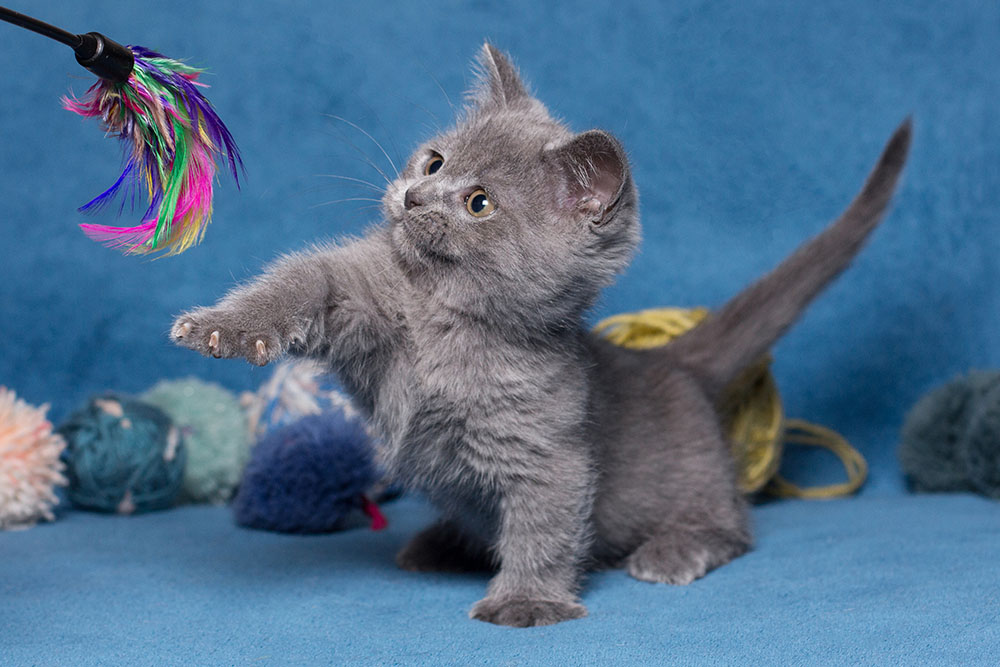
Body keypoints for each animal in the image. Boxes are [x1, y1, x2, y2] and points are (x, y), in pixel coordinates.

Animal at [174, 45, 916, 628]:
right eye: (434, 161)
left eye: (479, 203)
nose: (413, 196)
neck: (443, 321)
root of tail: (668, 361)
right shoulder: (357, 295)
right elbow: (303, 283)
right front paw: (224, 326)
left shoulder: (548, 446)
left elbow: (545, 522)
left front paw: (526, 600)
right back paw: (443, 541)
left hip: (694, 479)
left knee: (733, 524)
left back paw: (673, 550)